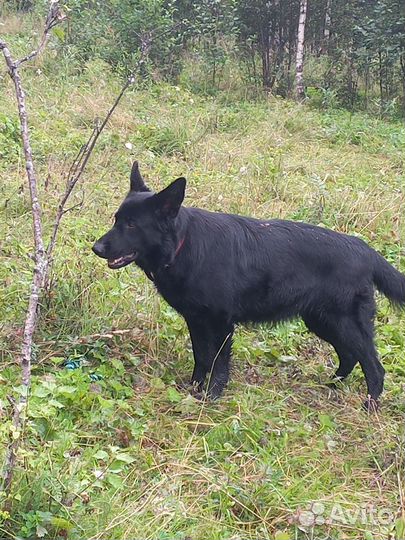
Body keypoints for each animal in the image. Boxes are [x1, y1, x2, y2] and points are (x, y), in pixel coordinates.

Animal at [94, 160, 404, 410]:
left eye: (132, 225)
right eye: (117, 219)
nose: (96, 248)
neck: (184, 246)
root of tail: (365, 250)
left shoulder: (221, 325)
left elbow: (218, 363)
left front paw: (212, 396)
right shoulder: (196, 321)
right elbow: (201, 357)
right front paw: (194, 388)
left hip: (342, 322)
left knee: (374, 366)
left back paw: (370, 405)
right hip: (322, 321)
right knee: (349, 355)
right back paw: (331, 384)